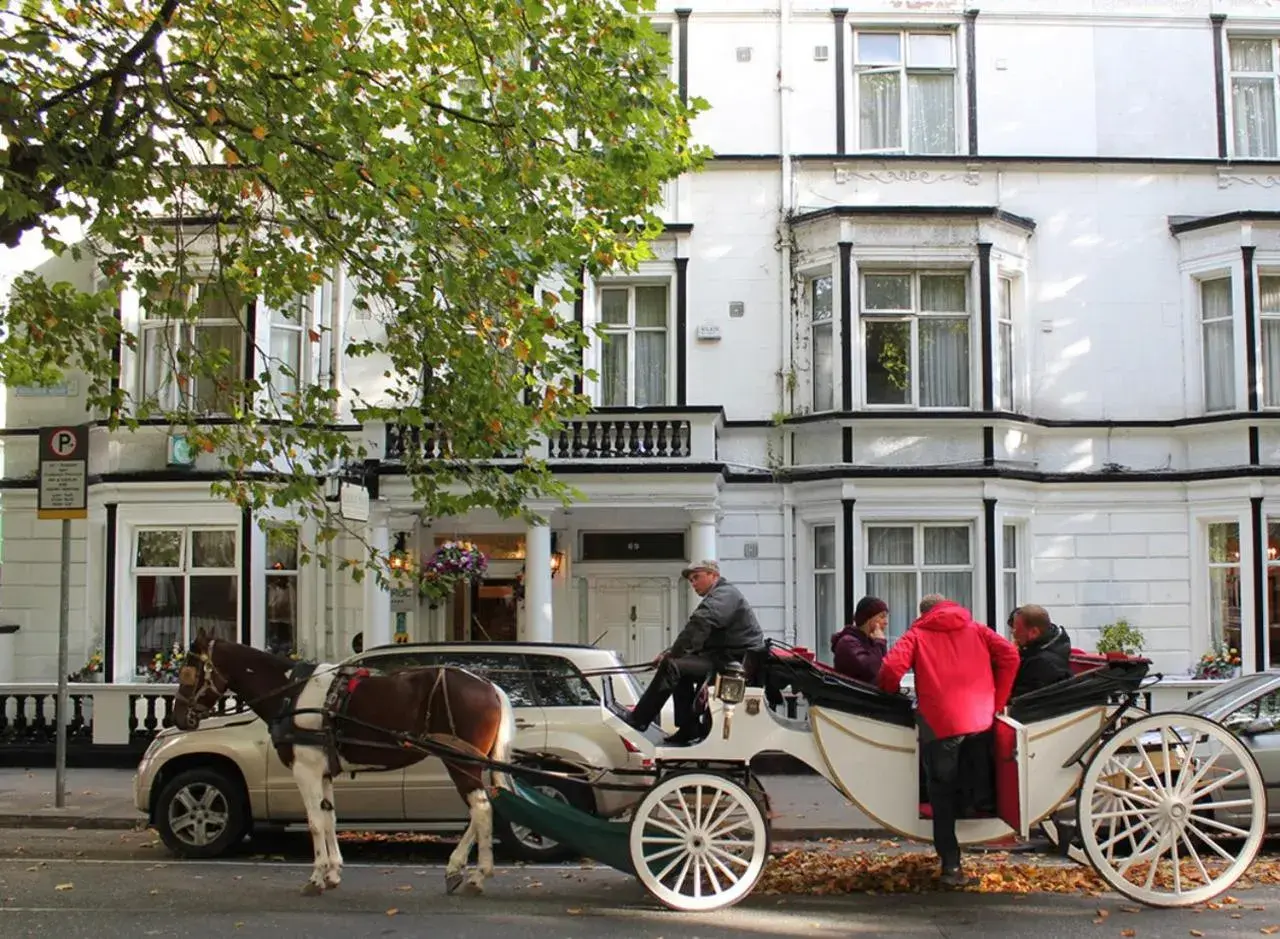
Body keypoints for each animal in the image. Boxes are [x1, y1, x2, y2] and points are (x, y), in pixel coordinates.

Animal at [168, 631, 514, 895]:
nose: (179, 717)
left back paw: (477, 874)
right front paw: (333, 872)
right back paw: (459, 869)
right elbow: (329, 819)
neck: (291, 694)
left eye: (188, 672)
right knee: (481, 810)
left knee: (481, 809)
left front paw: (317, 876)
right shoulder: (322, 772)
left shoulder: (305, 770)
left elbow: (313, 822)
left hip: (460, 762)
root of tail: (490, 686)